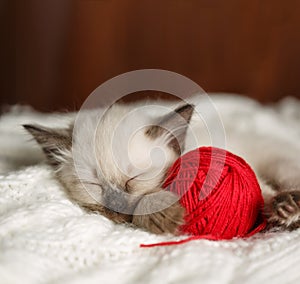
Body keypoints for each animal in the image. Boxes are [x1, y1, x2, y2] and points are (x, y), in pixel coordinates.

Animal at [23, 96, 300, 234]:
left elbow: (260, 194)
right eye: (95, 185)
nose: (116, 207)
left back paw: (287, 209)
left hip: (281, 163)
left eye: (133, 180)